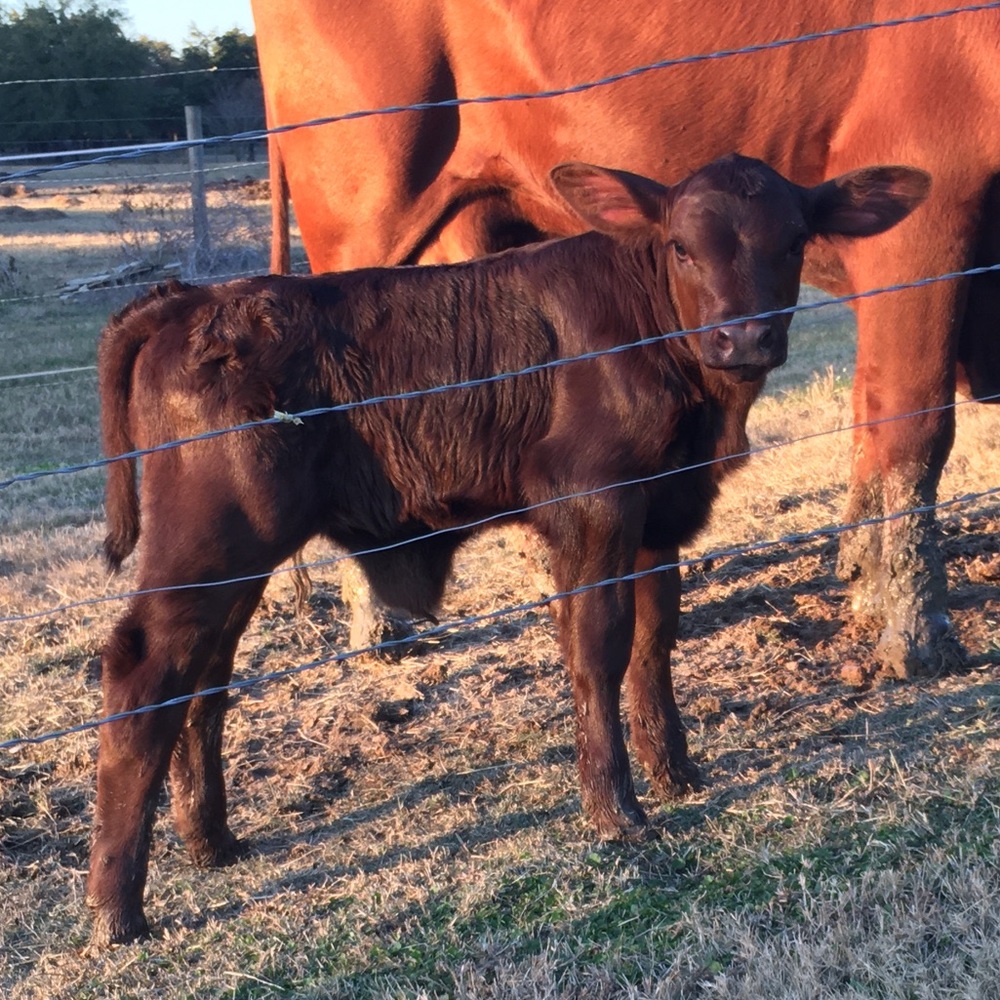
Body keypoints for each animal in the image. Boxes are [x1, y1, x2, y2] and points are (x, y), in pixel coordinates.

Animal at [86, 155, 927, 945]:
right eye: (682, 247)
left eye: (793, 242)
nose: (744, 336)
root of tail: (192, 299)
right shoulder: (592, 508)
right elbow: (597, 649)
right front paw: (614, 809)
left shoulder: (659, 516)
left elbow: (654, 643)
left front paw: (676, 771)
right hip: (210, 541)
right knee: (143, 673)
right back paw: (117, 909)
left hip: (236, 557)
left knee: (204, 678)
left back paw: (211, 841)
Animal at [250, 0, 1000, 679]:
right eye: (680, 249)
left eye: (793, 243)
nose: (744, 338)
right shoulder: (930, 211)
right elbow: (912, 427)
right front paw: (915, 627)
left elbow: (869, 413)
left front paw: (867, 583)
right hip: (363, 219)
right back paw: (380, 621)